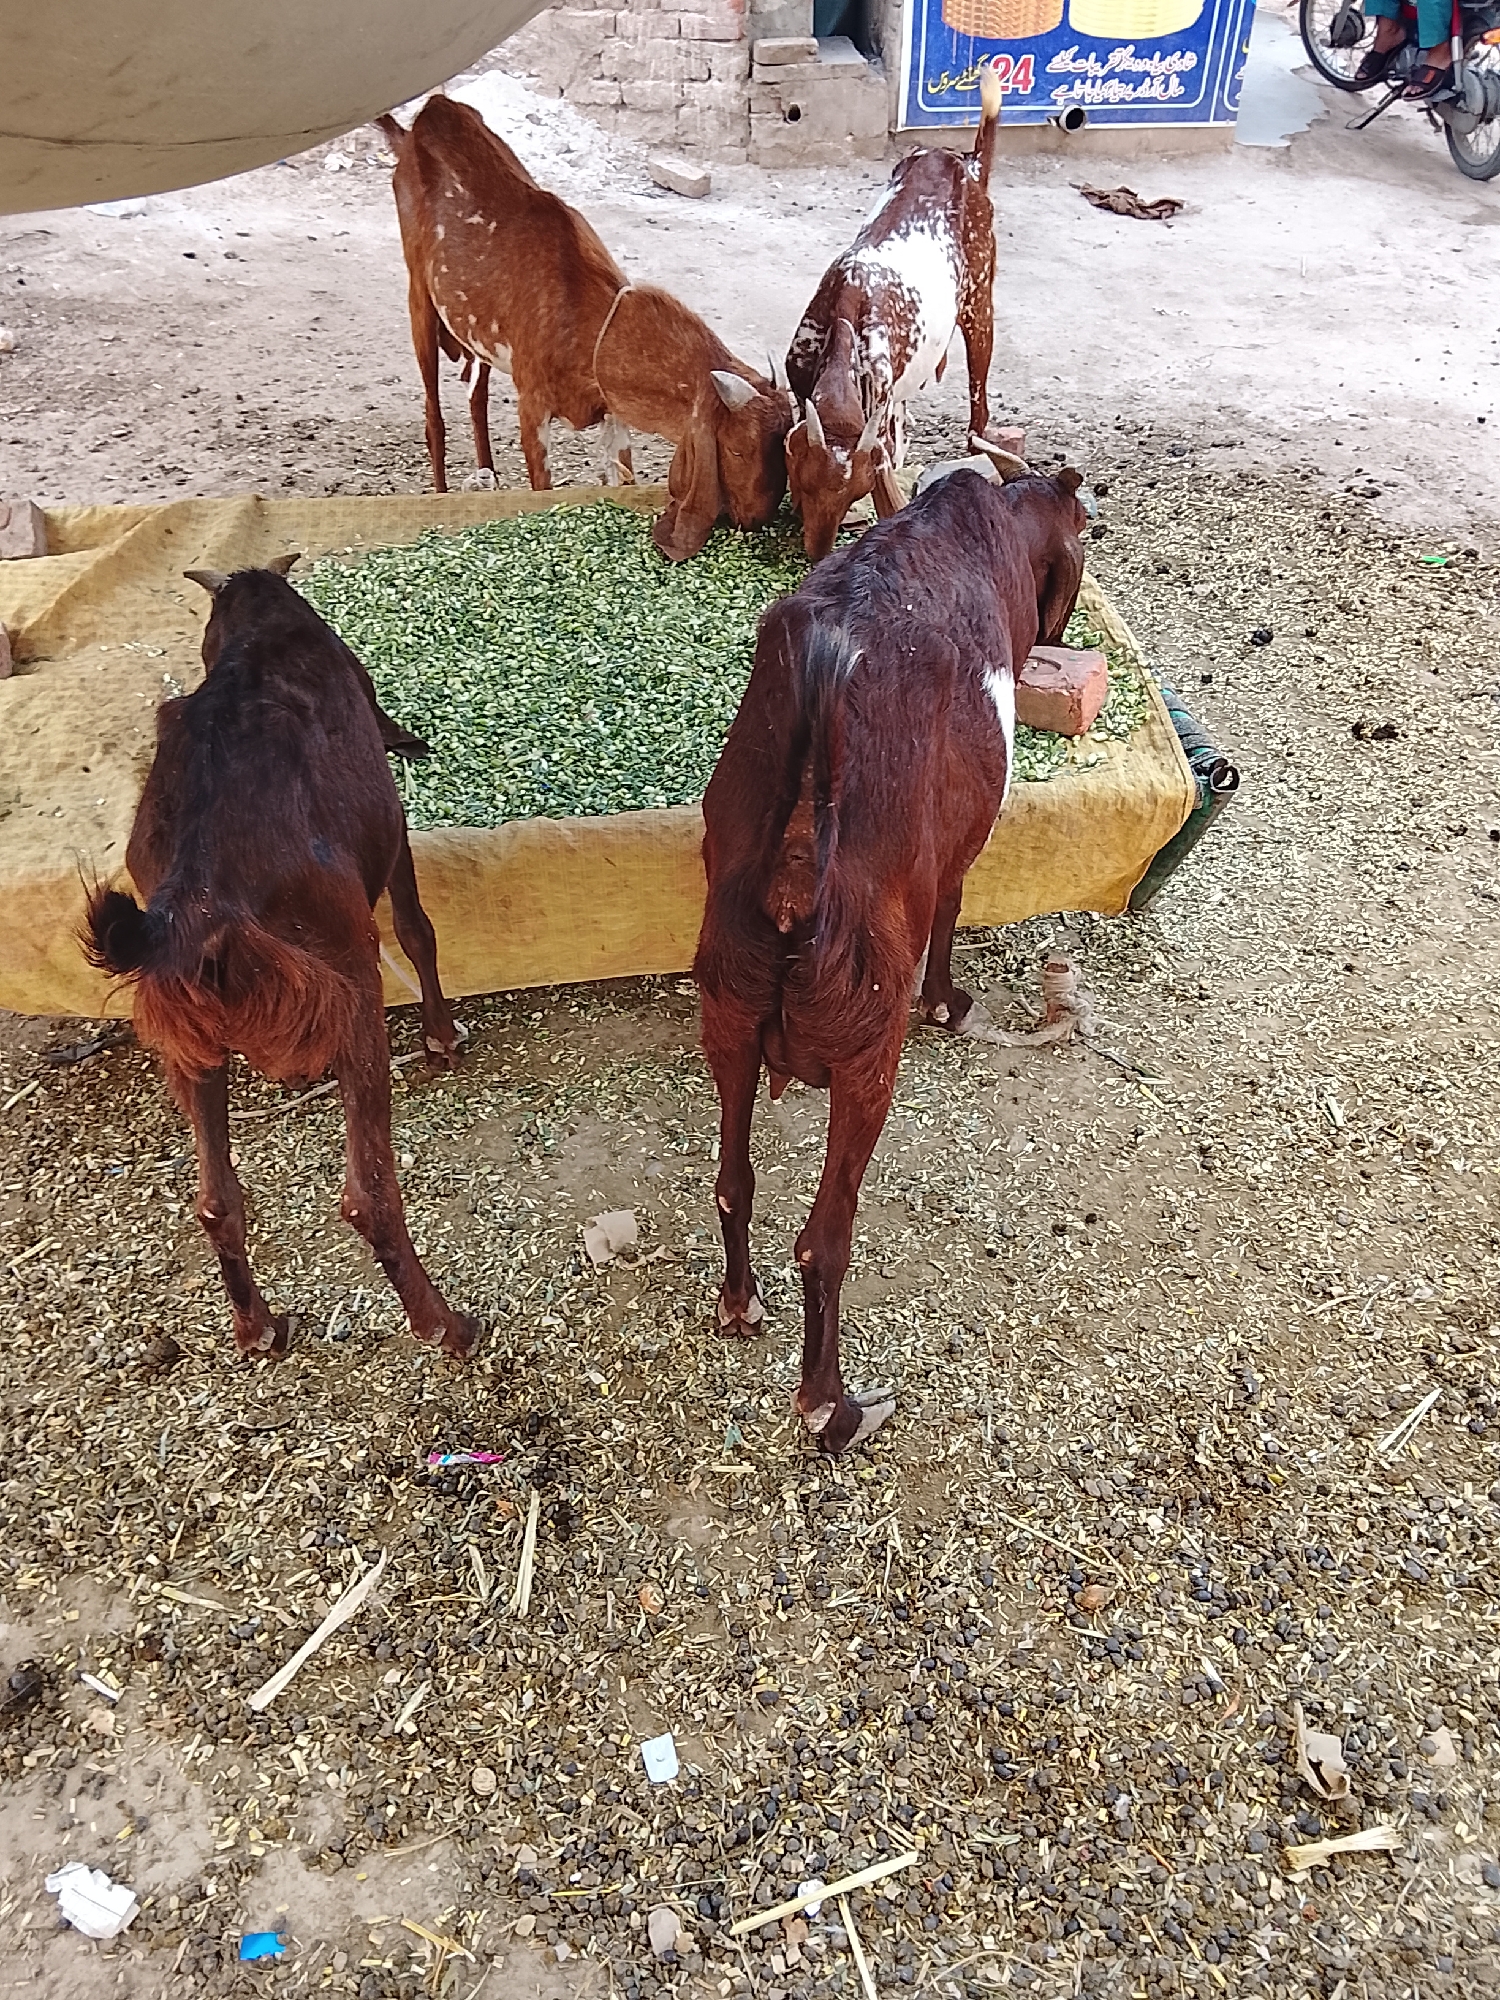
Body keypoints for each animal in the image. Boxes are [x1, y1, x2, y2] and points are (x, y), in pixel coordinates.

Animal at [82, 560, 477, 1364]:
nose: (411, 743)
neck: (257, 631)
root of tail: (195, 897)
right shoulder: (391, 831)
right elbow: (417, 927)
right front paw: (441, 1036)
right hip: (349, 987)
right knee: (368, 1192)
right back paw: (444, 1325)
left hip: (191, 1042)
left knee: (214, 1199)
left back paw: (257, 1325)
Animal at [379, 96, 792, 560]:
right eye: (736, 449)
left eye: (781, 452)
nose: (755, 521)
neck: (586, 323)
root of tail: (423, 121)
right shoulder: (532, 404)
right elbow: (542, 487)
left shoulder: (612, 412)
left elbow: (621, 475)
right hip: (418, 292)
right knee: (433, 413)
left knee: (476, 394)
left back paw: (488, 475)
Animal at [694, 464, 1089, 1454]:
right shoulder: (956, 852)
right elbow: (951, 912)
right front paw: (951, 1003)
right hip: (868, 1053)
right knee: (822, 1241)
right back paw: (834, 1409)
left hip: (726, 1014)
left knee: (732, 1183)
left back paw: (738, 1305)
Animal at [784, 69, 1005, 561]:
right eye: (802, 483)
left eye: (855, 493)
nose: (818, 551)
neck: (844, 313)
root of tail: (967, 163)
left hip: (979, 303)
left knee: (979, 393)